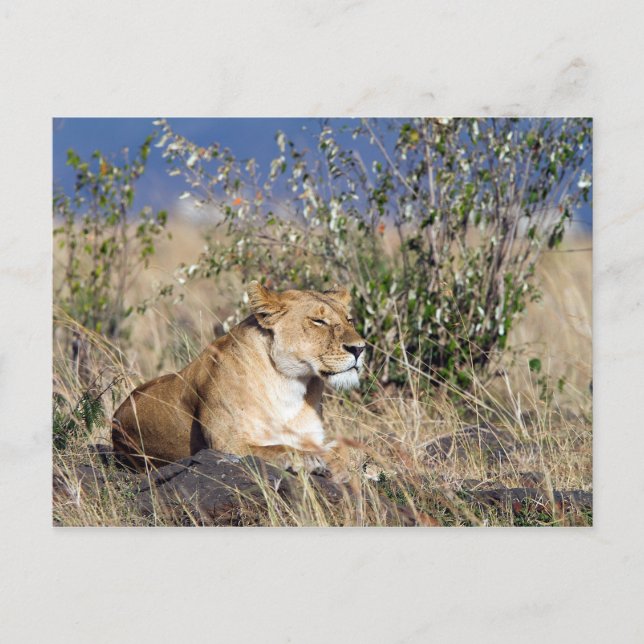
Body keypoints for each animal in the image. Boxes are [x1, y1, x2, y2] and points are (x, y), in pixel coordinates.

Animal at [111, 281, 366, 477]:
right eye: (318, 321)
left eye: (350, 320)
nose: (359, 349)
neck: (289, 384)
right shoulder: (226, 446)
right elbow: (277, 448)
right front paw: (308, 460)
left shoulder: (312, 437)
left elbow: (349, 448)